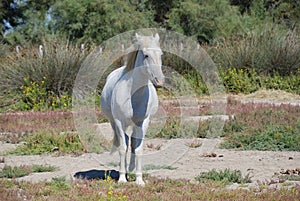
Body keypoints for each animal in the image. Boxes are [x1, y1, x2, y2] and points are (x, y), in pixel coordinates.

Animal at [101, 32, 164, 185]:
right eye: (146, 55)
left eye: (161, 54)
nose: (160, 81)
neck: (133, 95)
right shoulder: (119, 122)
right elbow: (123, 148)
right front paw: (122, 179)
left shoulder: (143, 122)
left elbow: (138, 148)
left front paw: (139, 180)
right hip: (114, 123)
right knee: (124, 142)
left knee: (133, 144)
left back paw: (130, 170)